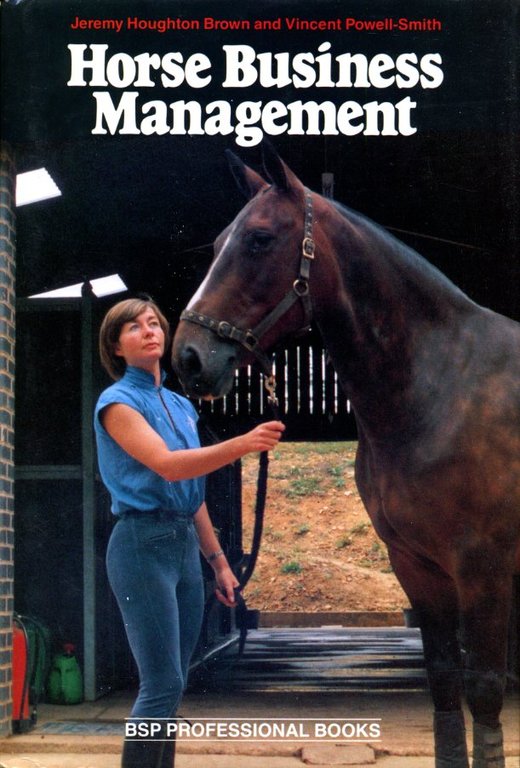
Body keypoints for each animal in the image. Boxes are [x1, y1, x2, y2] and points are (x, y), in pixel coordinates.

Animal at [171, 143, 520, 768]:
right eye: (215, 244)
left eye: (260, 238)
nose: (187, 357)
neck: (443, 387)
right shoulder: (416, 565)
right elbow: (443, 683)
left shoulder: (484, 568)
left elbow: (482, 693)